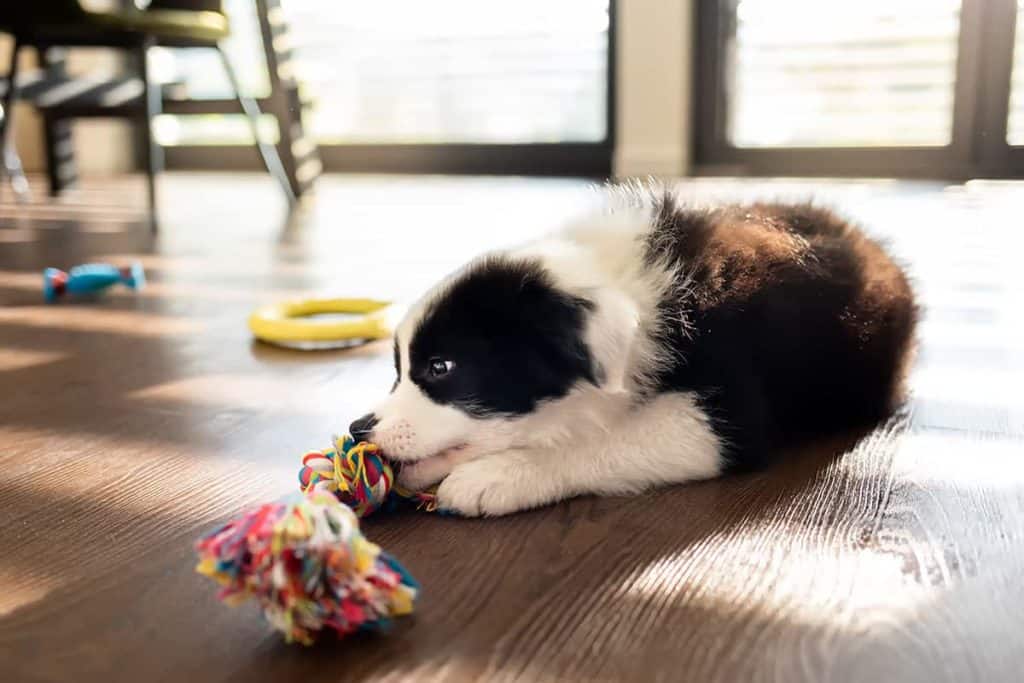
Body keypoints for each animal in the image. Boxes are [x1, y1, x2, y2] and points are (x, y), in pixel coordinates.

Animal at [348, 189, 917, 516]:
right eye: (397, 369)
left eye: (440, 367)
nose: (357, 429)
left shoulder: (727, 415)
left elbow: (604, 440)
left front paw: (497, 477)